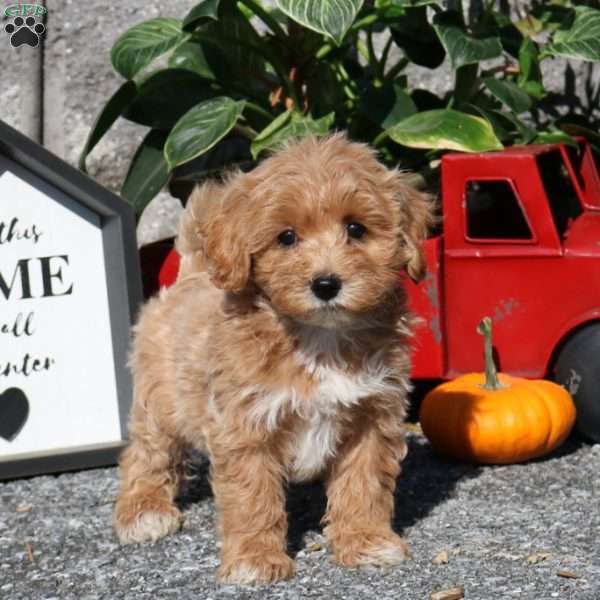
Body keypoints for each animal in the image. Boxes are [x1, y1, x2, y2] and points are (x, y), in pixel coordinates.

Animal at [113, 134, 432, 584]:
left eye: (356, 228)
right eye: (286, 237)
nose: (326, 284)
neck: (319, 338)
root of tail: (190, 274)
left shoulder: (372, 415)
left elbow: (363, 483)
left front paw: (366, 540)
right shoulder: (245, 425)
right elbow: (252, 496)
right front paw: (254, 559)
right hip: (158, 401)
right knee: (146, 454)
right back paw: (144, 511)